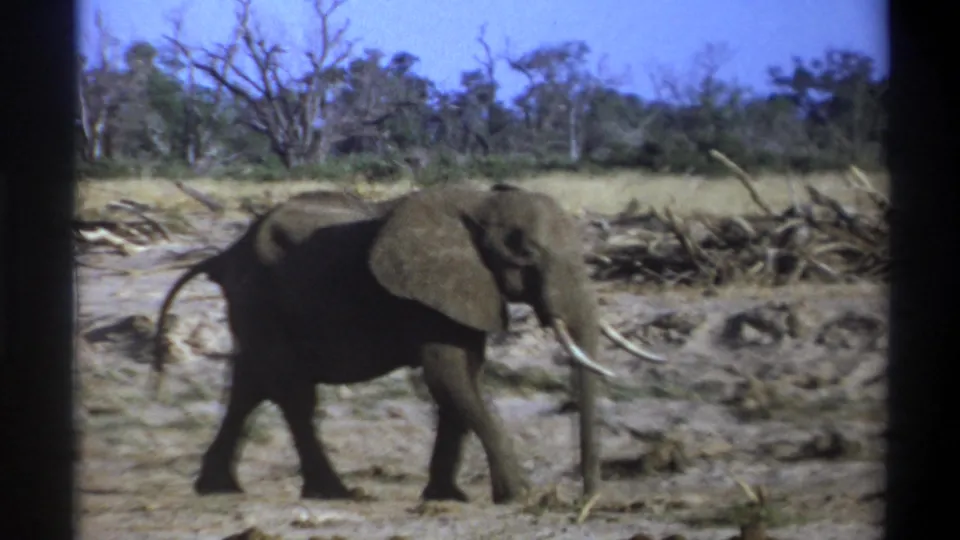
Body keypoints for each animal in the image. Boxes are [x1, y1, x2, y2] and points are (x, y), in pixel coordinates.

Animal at [152, 184, 666, 504]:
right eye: (524, 254)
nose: (586, 499)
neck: (481, 204)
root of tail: (223, 255)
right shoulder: (428, 297)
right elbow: (449, 376)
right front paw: (520, 496)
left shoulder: (461, 295)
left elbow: (465, 378)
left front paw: (449, 498)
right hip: (262, 300)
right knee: (289, 391)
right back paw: (334, 493)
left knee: (252, 384)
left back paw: (219, 488)